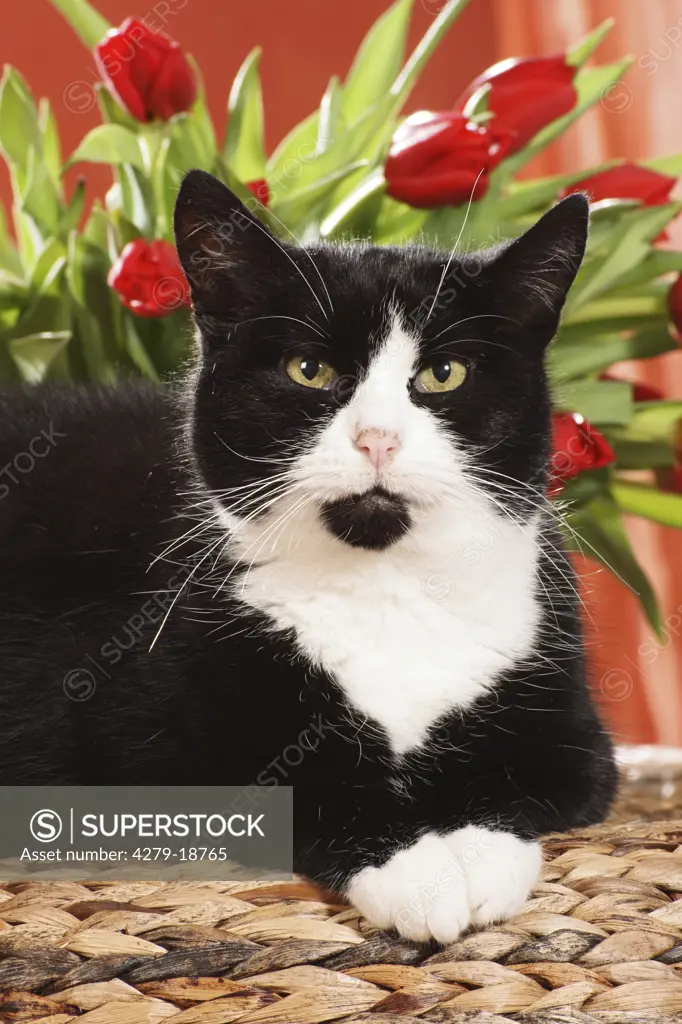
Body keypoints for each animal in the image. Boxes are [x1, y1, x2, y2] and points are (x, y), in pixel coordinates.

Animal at [0, 169, 614, 942]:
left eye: (444, 373)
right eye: (308, 369)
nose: (378, 437)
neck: (384, 584)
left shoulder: (570, 717)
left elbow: (525, 774)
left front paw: (478, 858)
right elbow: (299, 782)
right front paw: (420, 872)